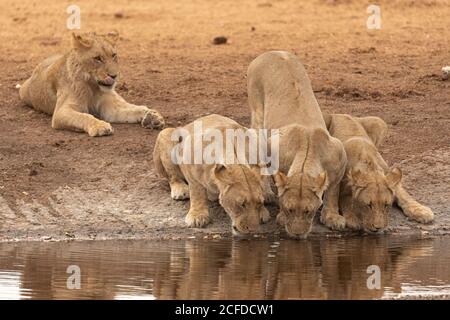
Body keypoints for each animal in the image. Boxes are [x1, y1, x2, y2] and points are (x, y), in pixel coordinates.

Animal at [18, 31, 165, 138]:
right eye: (98, 58)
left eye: (114, 55)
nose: (114, 76)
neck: (93, 87)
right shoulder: (61, 112)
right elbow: (84, 116)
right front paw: (100, 126)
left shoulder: (109, 109)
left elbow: (132, 110)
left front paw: (153, 117)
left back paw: (152, 117)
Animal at [246, 51, 348, 239]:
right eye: (290, 209)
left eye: (309, 211)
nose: (297, 235)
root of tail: (271, 52)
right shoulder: (274, 149)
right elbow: (279, 184)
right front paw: (280, 216)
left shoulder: (339, 161)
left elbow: (332, 191)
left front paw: (332, 218)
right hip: (258, 117)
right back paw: (267, 194)